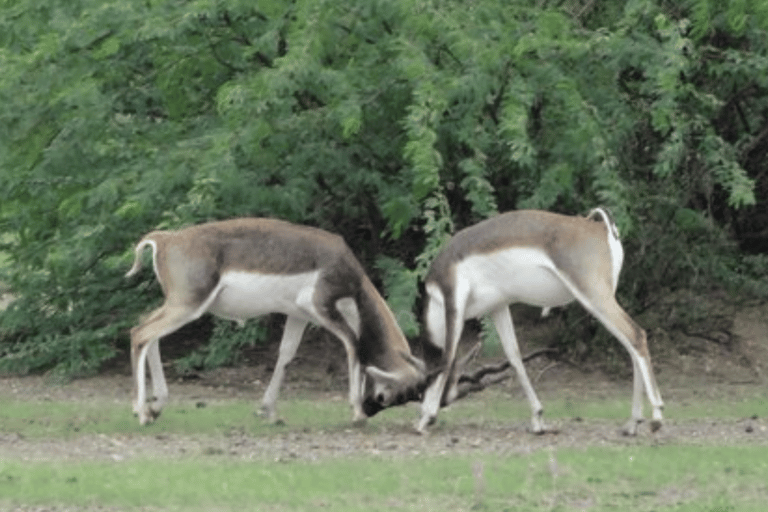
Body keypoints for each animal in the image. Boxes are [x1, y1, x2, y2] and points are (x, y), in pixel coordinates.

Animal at [126, 218, 426, 426]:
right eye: (391, 395)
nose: (370, 410)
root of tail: (165, 239)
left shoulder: (298, 315)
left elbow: (286, 355)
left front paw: (267, 410)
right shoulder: (320, 308)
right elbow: (353, 344)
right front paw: (356, 412)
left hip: (179, 305)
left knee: (147, 332)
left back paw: (155, 408)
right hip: (187, 306)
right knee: (140, 333)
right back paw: (142, 413)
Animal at [416, 208, 664, 436]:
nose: (444, 402)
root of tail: (601, 228)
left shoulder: (453, 302)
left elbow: (447, 357)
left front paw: (425, 418)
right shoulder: (499, 307)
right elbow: (514, 357)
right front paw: (537, 418)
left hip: (594, 296)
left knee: (636, 335)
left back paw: (657, 416)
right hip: (604, 298)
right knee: (630, 346)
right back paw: (632, 423)